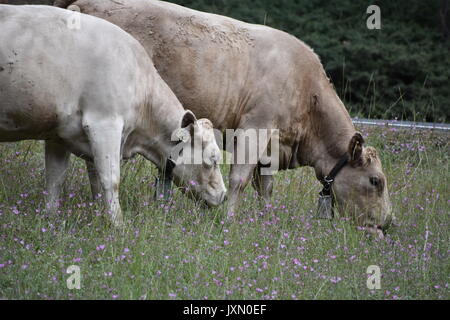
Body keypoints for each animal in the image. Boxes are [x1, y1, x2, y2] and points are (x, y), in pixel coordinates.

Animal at [0, 4, 227, 225]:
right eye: (213, 159)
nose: (224, 195)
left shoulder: (58, 134)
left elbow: (56, 179)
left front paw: (51, 219)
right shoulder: (104, 124)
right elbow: (110, 179)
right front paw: (118, 225)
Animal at [56, 0, 394, 232]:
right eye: (376, 181)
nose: (388, 223)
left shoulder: (271, 145)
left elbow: (265, 186)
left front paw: (266, 220)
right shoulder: (254, 128)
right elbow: (239, 180)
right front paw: (229, 221)